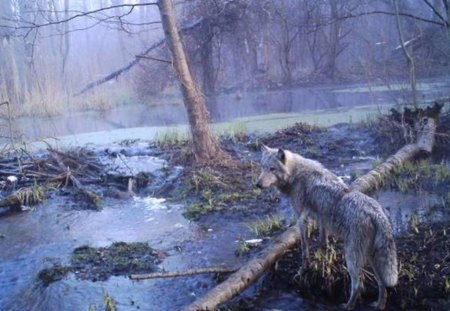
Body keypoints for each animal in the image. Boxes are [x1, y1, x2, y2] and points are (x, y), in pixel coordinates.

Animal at [255, 145, 400, 310]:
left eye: (272, 169)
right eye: (262, 167)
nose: (257, 184)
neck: (295, 174)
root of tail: (377, 213)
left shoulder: (302, 220)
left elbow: (305, 251)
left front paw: (304, 269)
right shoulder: (321, 219)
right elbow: (322, 243)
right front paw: (322, 261)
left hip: (352, 258)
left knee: (358, 285)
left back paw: (347, 306)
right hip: (371, 258)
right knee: (382, 284)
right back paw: (378, 305)